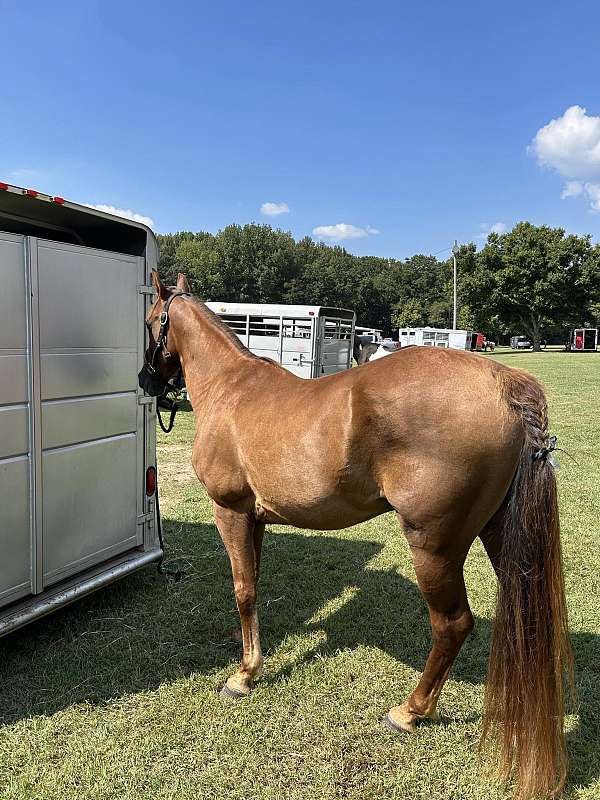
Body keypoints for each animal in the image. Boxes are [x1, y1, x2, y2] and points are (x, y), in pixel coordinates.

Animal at [138, 272, 576, 796]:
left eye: (150, 320)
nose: (144, 380)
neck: (231, 390)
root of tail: (503, 385)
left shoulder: (231, 512)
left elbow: (243, 590)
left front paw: (244, 676)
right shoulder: (257, 519)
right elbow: (255, 587)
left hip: (434, 548)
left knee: (452, 624)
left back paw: (410, 711)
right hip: (500, 539)